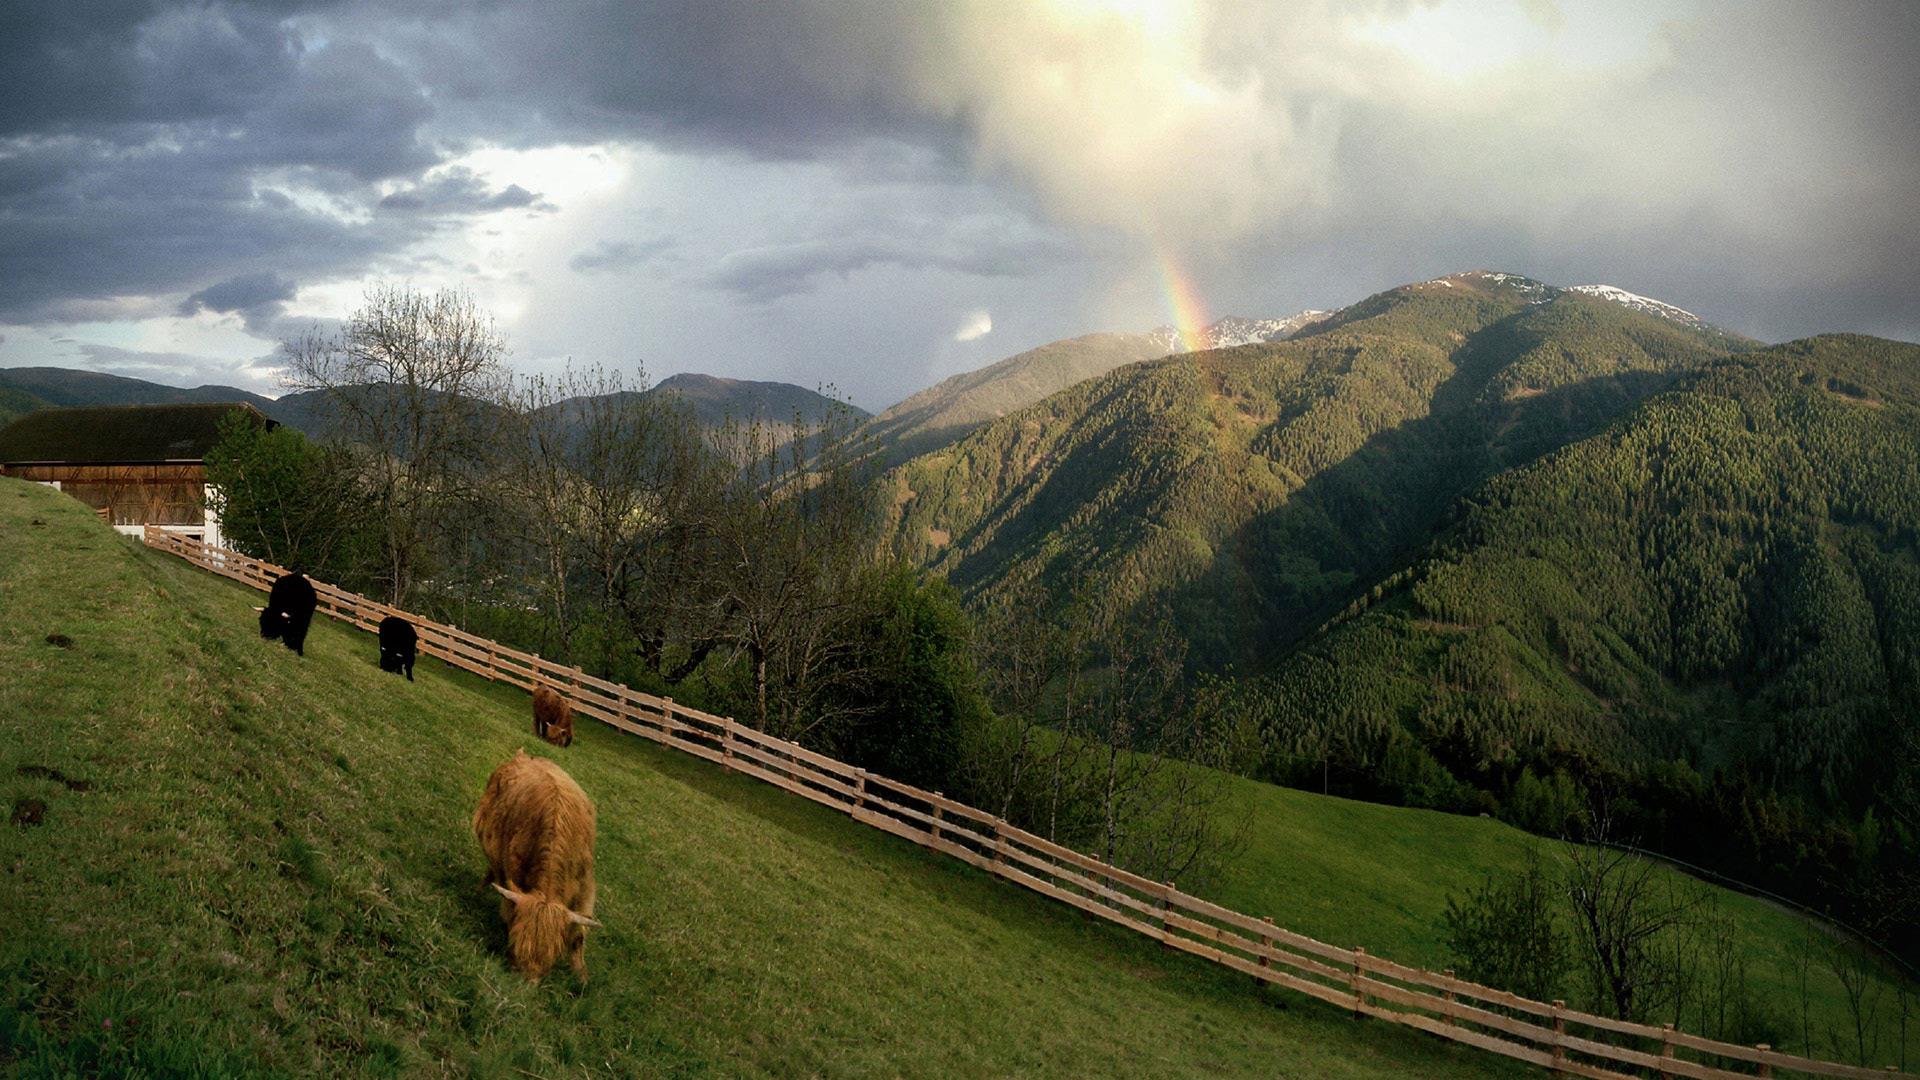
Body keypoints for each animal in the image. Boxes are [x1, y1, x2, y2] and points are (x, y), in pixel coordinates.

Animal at [472, 745, 599, 980]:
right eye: (517, 947)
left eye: (551, 956)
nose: (528, 982)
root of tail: (524, 756)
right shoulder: (510, 873)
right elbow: (508, 909)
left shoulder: (586, 884)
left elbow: (578, 935)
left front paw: (581, 976)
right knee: (491, 870)